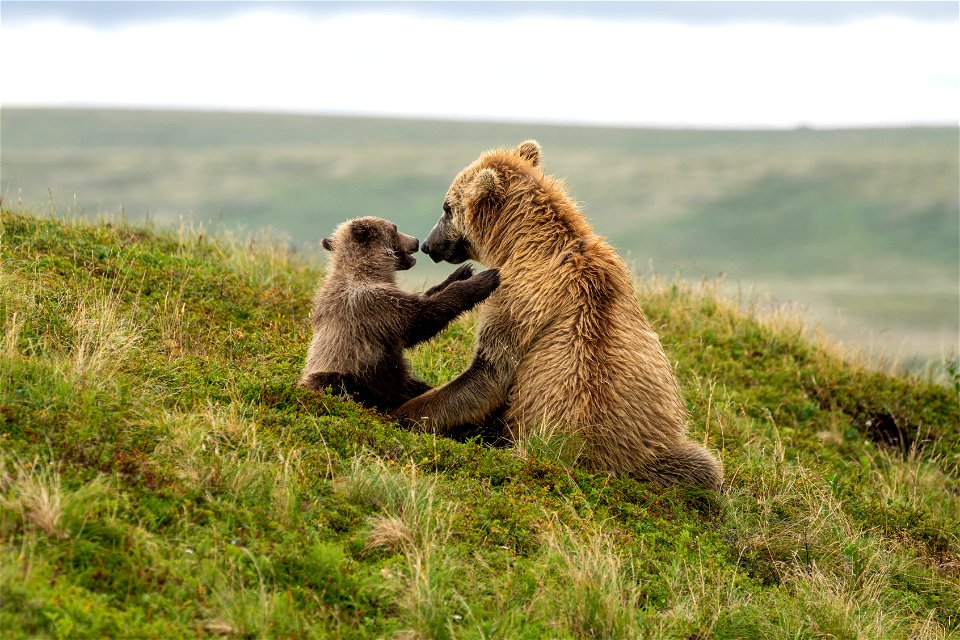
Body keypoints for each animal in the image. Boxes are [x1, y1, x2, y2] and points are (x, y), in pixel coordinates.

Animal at [390, 141, 720, 490]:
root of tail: (601, 466)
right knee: (704, 466)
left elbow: (490, 370)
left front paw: (406, 413)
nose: (428, 244)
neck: (520, 243)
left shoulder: (516, 300)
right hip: (660, 453)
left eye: (447, 207)